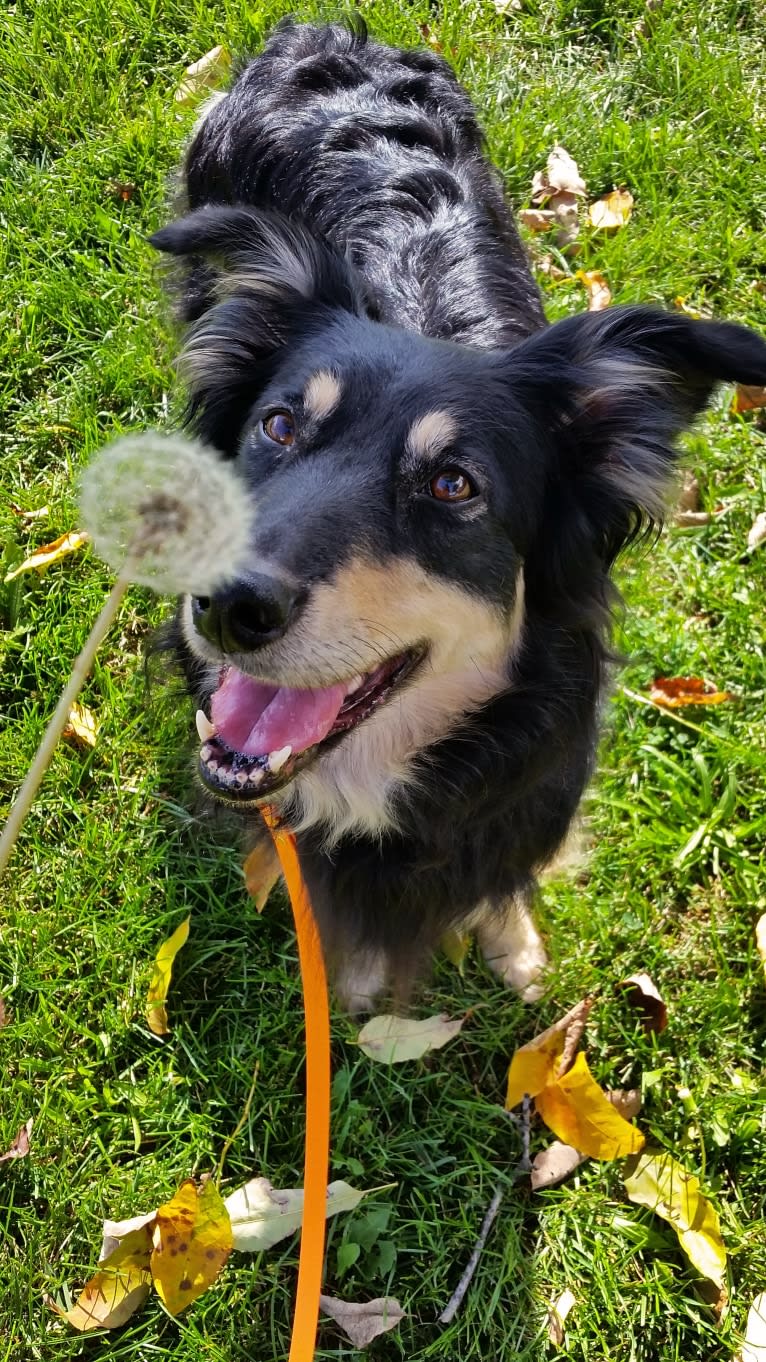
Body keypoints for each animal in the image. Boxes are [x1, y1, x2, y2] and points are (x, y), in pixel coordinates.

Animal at [151, 16, 763, 1007]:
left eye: (453, 486)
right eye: (278, 426)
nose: (226, 606)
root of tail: (319, 35)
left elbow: (503, 882)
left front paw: (514, 949)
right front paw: (362, 985)